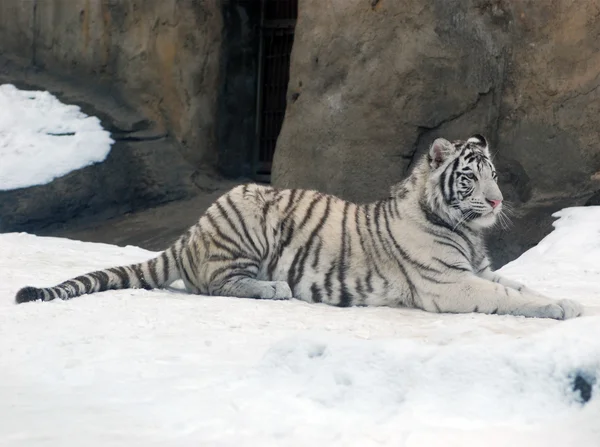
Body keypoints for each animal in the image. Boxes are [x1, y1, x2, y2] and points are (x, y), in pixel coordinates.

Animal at [16, 135, 584, 320]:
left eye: (494, 173)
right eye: (470, 176)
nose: (497, 199)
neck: (464, 228)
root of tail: (193, 231)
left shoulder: (477, 270)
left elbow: (519, 284)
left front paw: (569, 300)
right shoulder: (449, 284)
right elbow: (510, 297)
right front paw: (559, 309)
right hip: (245, 217)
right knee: (217, 285)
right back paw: (275, 288)